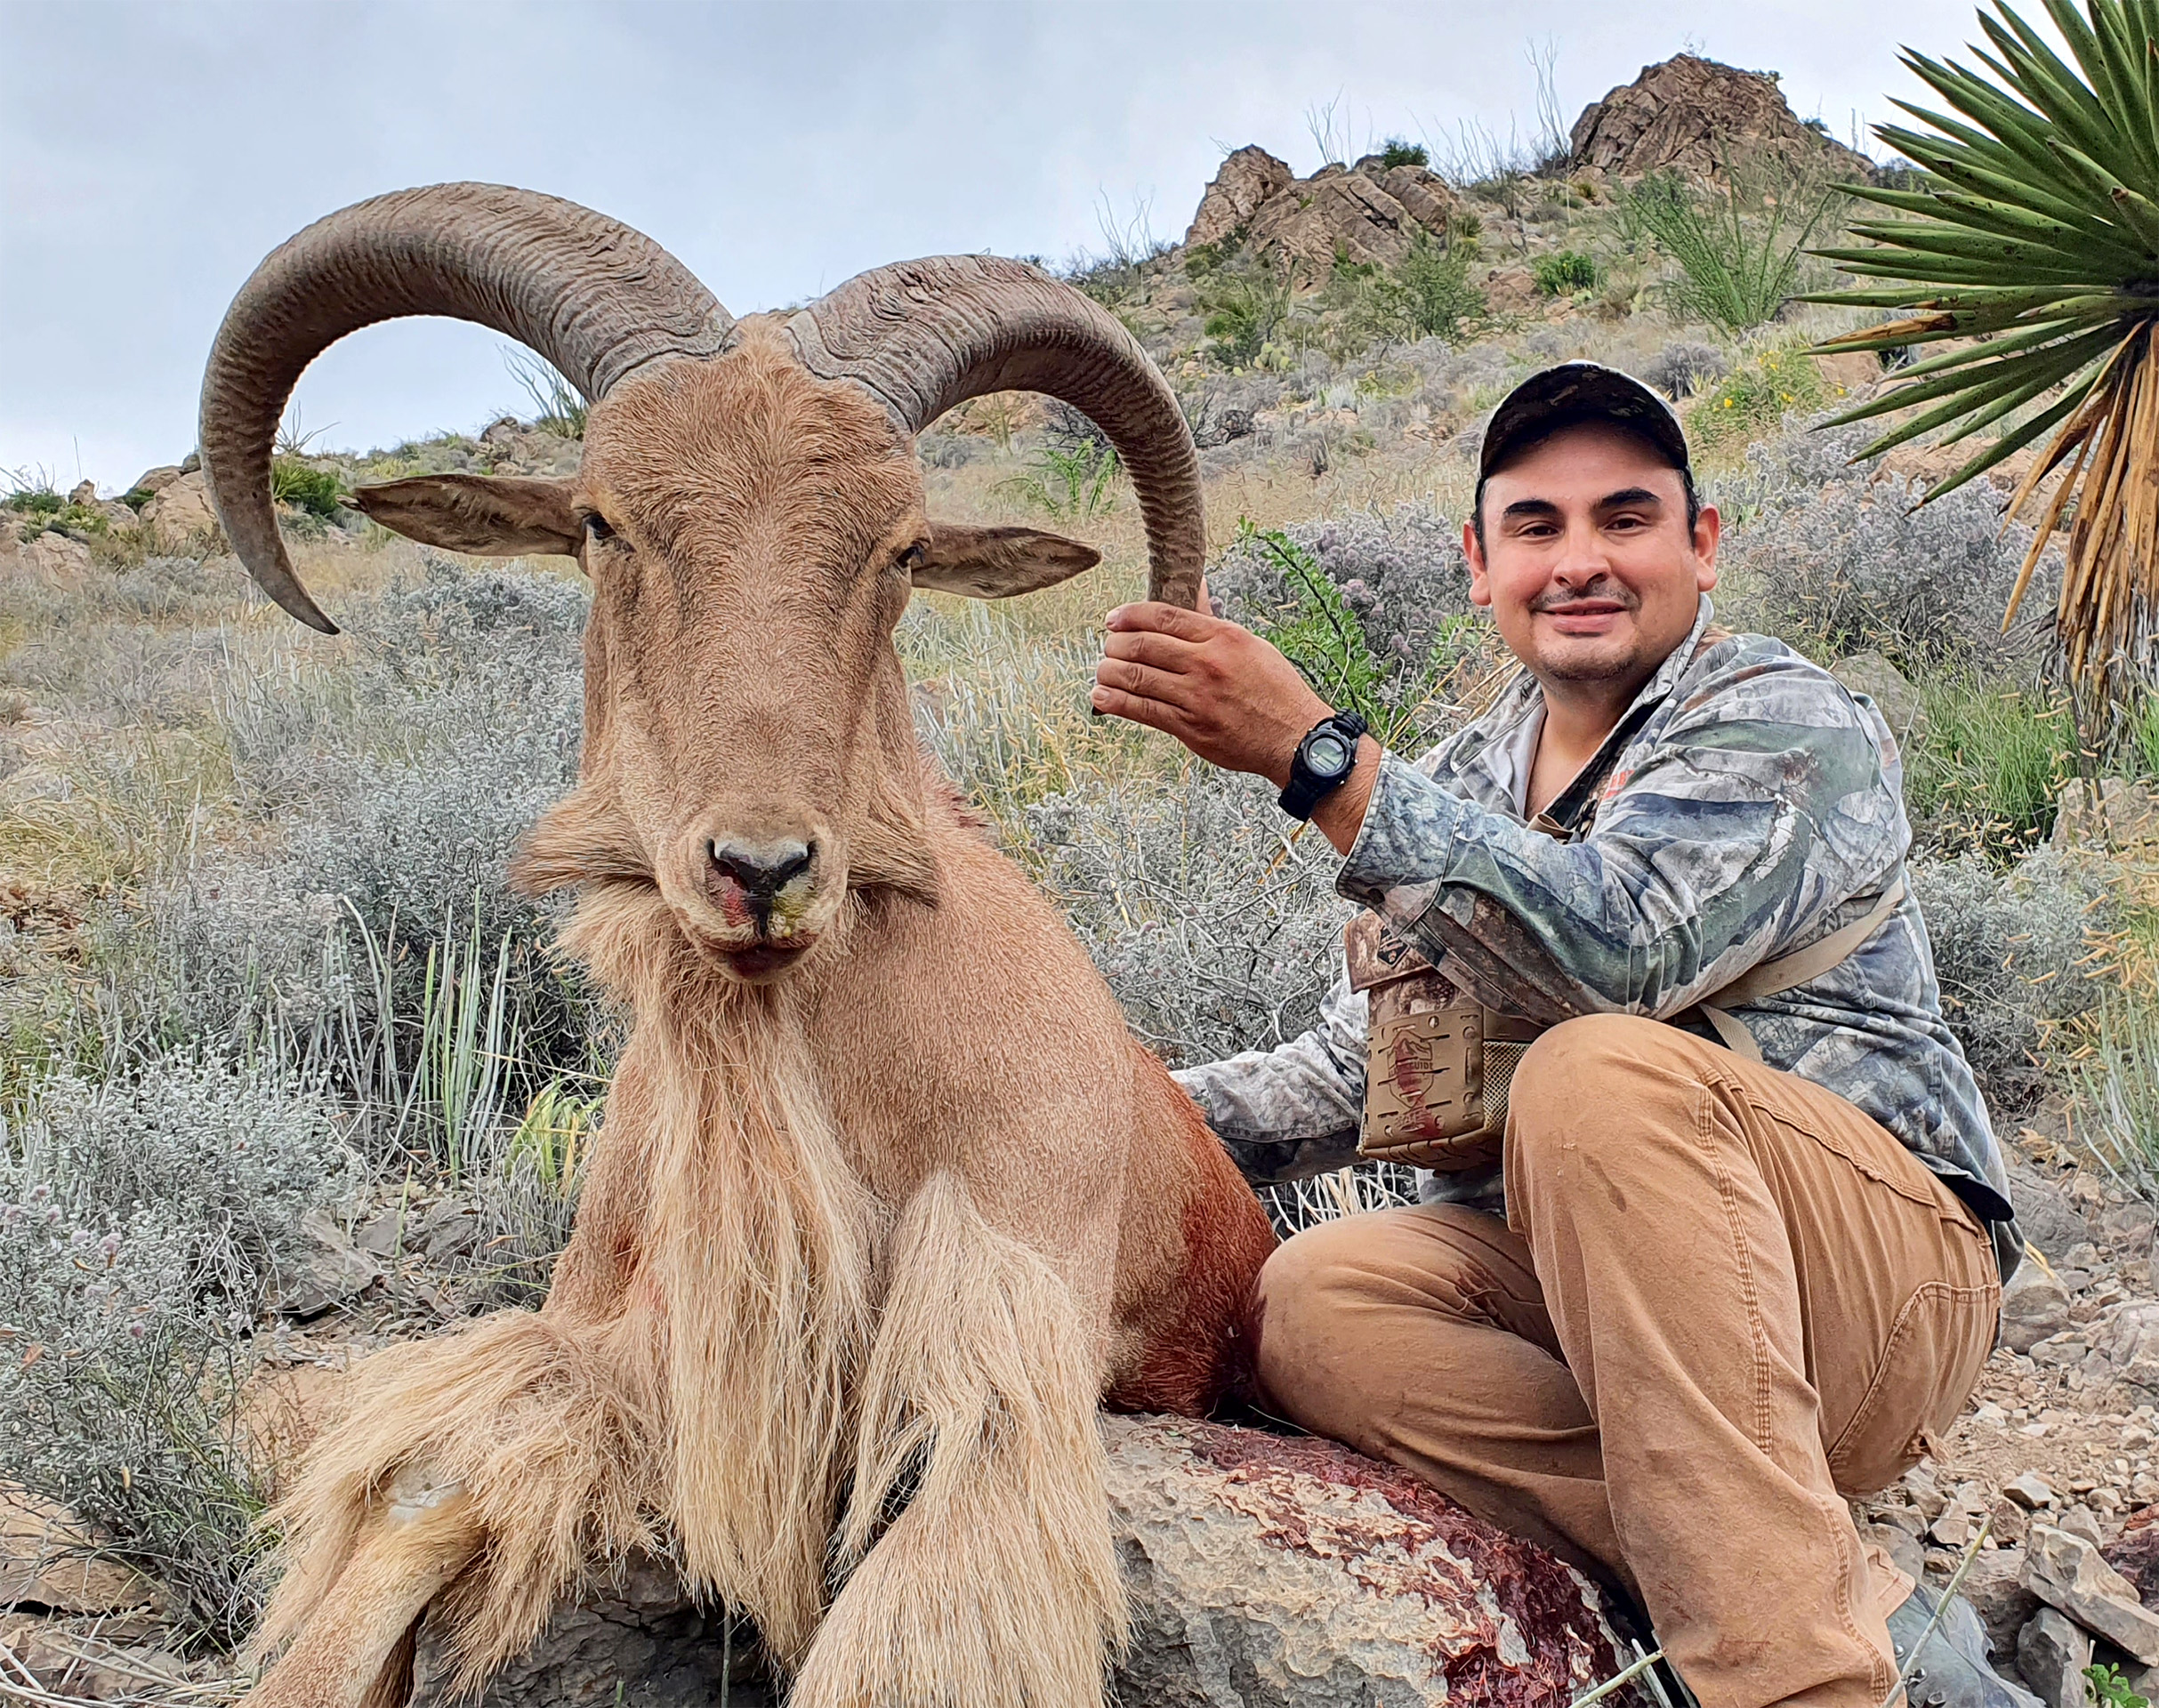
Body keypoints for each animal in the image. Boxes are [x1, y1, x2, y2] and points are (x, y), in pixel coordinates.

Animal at [197, 183, 1279, 1708]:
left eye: (900, 550)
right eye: (601, 522)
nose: (760, 871)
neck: (834, 1069)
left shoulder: (1001, 1359)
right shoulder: (640, 1347)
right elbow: (432, 1480)